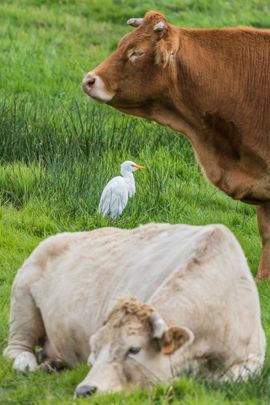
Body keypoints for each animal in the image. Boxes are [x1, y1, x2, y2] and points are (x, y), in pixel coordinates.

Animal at [3, 221, 266, 394]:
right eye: (95, 348)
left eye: (134, 349)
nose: (85, 390)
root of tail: (55, 237)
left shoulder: (254, 357)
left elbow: (224, 381)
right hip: (22, 301)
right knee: (16, 348)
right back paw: (26, 364)